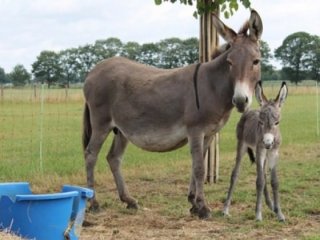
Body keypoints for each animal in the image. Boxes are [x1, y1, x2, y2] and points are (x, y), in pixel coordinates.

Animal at [222, 82, 288, 221]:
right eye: (261, 122)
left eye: (277, 122)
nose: (267, 143)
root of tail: (250, 110)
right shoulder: (260, 151)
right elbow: (260, 181)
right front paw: (258, 215)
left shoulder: (273, 153)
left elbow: (274, 181)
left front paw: (279, 213)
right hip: (242, 145)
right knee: (235, 174)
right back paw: (225, 209)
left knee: (263, 175)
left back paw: (271, 206)